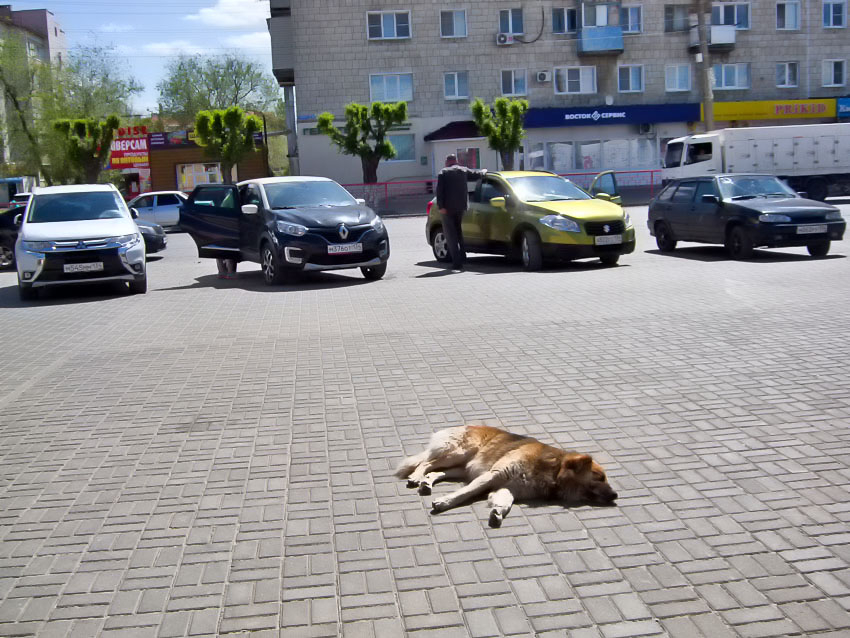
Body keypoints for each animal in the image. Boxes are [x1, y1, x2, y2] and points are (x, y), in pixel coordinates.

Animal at [394, 428, 612, 528]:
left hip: (464, 467)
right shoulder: (494, 475)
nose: (616, 495)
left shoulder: (511, 487)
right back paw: (416, 477)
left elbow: (506, 501)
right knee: (426, 463)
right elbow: (466, 492)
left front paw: (498, 511)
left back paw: (426, 482)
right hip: (459, 453)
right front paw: (445, 501)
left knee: (436, 471)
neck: (553, 469)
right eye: (599, 477)